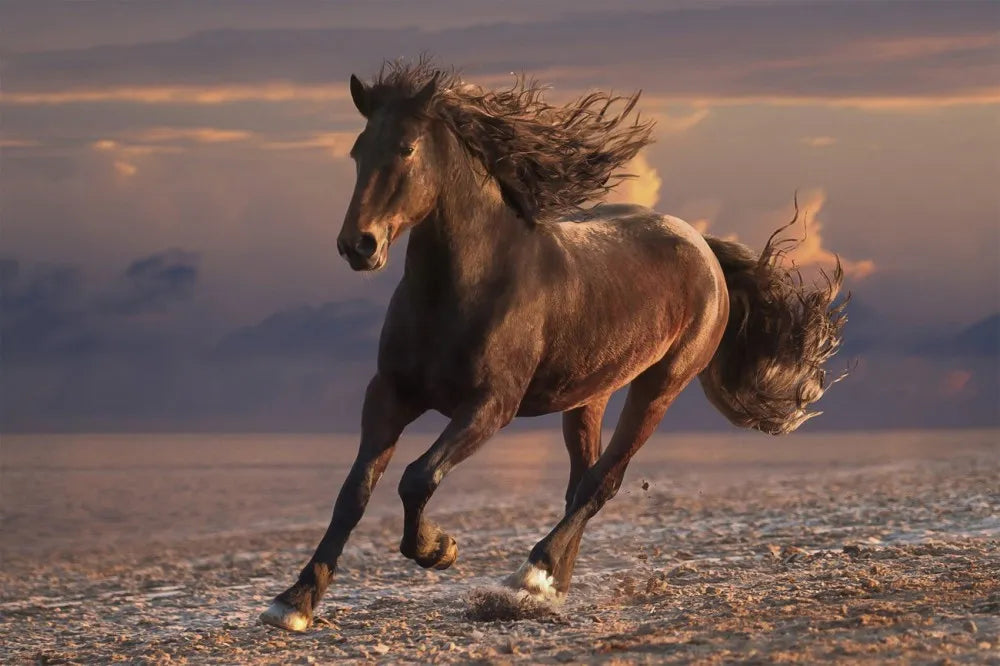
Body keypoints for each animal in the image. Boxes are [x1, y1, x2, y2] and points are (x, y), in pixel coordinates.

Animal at [260, 60, 847, 631]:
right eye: (358, 151)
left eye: (406, 148)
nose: (358, 245)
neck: (466, 286)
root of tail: (702, 246)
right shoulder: (389, 394)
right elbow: (354, 492)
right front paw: (295, 601)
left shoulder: (490, 406)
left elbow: (417, 477)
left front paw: (439, 549)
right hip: (589, 395)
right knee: (580, 481)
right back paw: (549, 586)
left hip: (660, 386)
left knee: (603, 481)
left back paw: (533, 575)